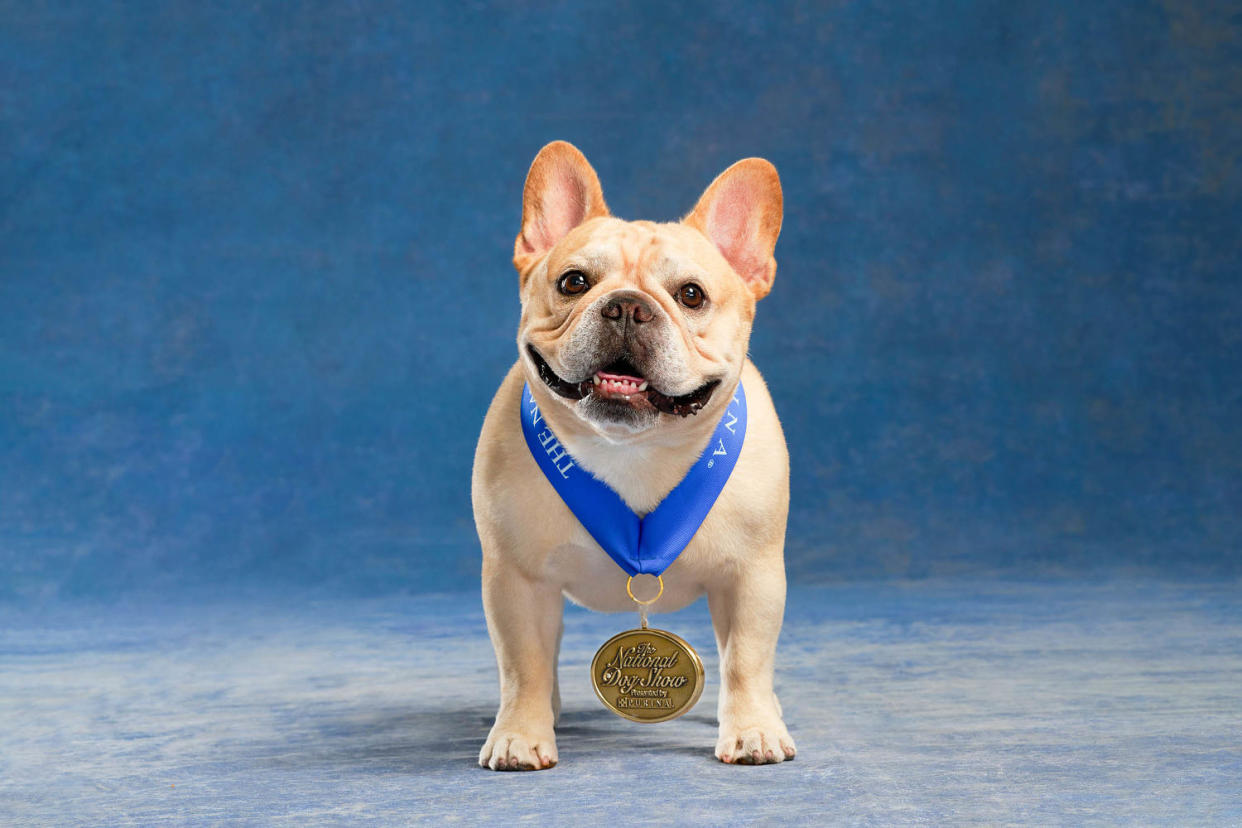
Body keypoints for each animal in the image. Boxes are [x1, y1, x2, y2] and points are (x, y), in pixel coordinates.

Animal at [469, 140, 789, 769]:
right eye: (573, 282)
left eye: (691, 295)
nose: (625, 306)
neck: (635, 450)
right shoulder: (515, 581)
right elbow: (523, 663)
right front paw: (520, 733)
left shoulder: (754, 577)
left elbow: (746, 659)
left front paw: (752, 729)